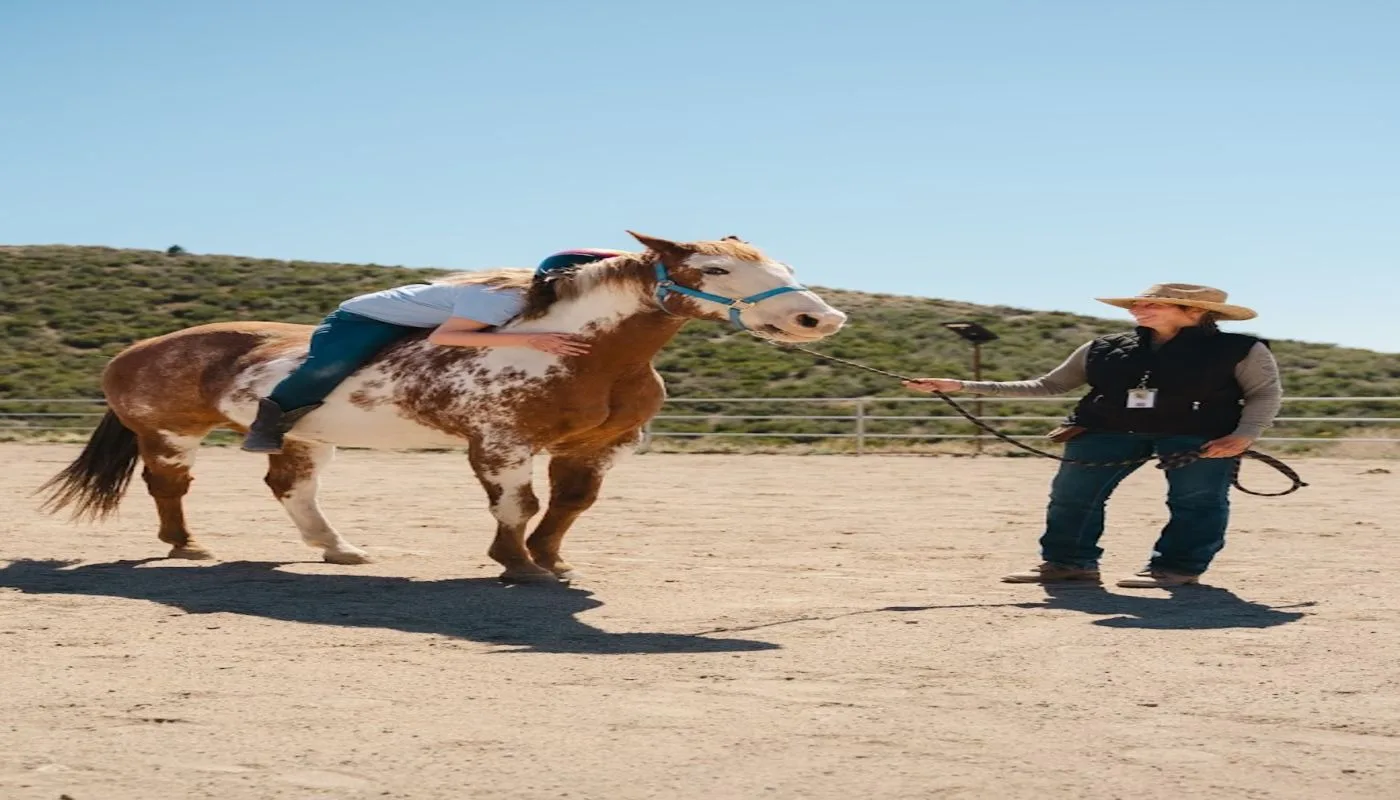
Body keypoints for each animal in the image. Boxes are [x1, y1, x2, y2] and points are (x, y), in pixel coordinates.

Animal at [39, 232, 848, 582]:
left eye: (781, 264)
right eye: (714, 269)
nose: (820, 318)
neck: (590, 350)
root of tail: (135, 347)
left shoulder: (598, 448)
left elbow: (570, 506)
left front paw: (552, 561)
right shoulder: (500, 442)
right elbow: (518, 506)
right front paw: (516, 565)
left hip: (304, 435)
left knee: (291, 487)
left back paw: (338, 547)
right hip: (171, 433)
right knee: (170, 486)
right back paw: (186, 545)